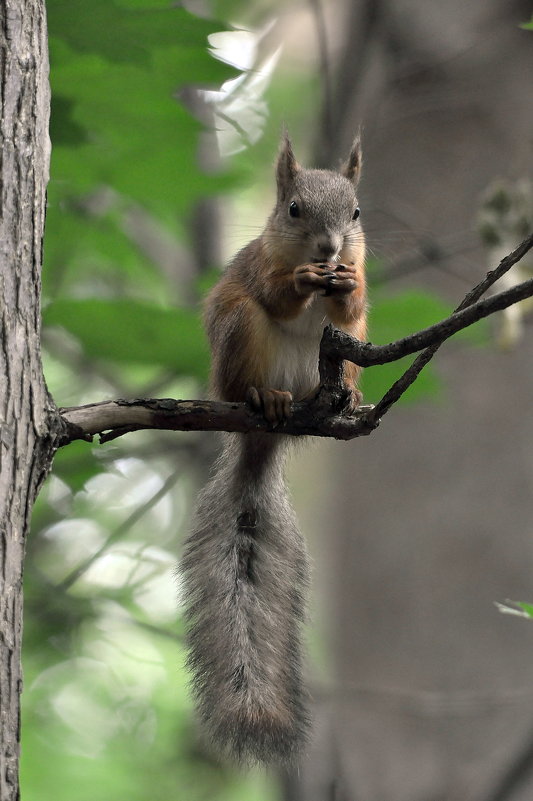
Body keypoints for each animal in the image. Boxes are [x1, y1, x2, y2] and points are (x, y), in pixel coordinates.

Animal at [181, 133, 368, 764]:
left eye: (355, 213)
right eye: (293, 209)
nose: (330, 248)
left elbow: (353, 304)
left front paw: (345, 283)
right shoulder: (262, 267)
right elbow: (281, 295)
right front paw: (306, 281)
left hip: (349, 352)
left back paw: (346, 397)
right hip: (240, 334)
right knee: (252, 366)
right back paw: (268, 395)